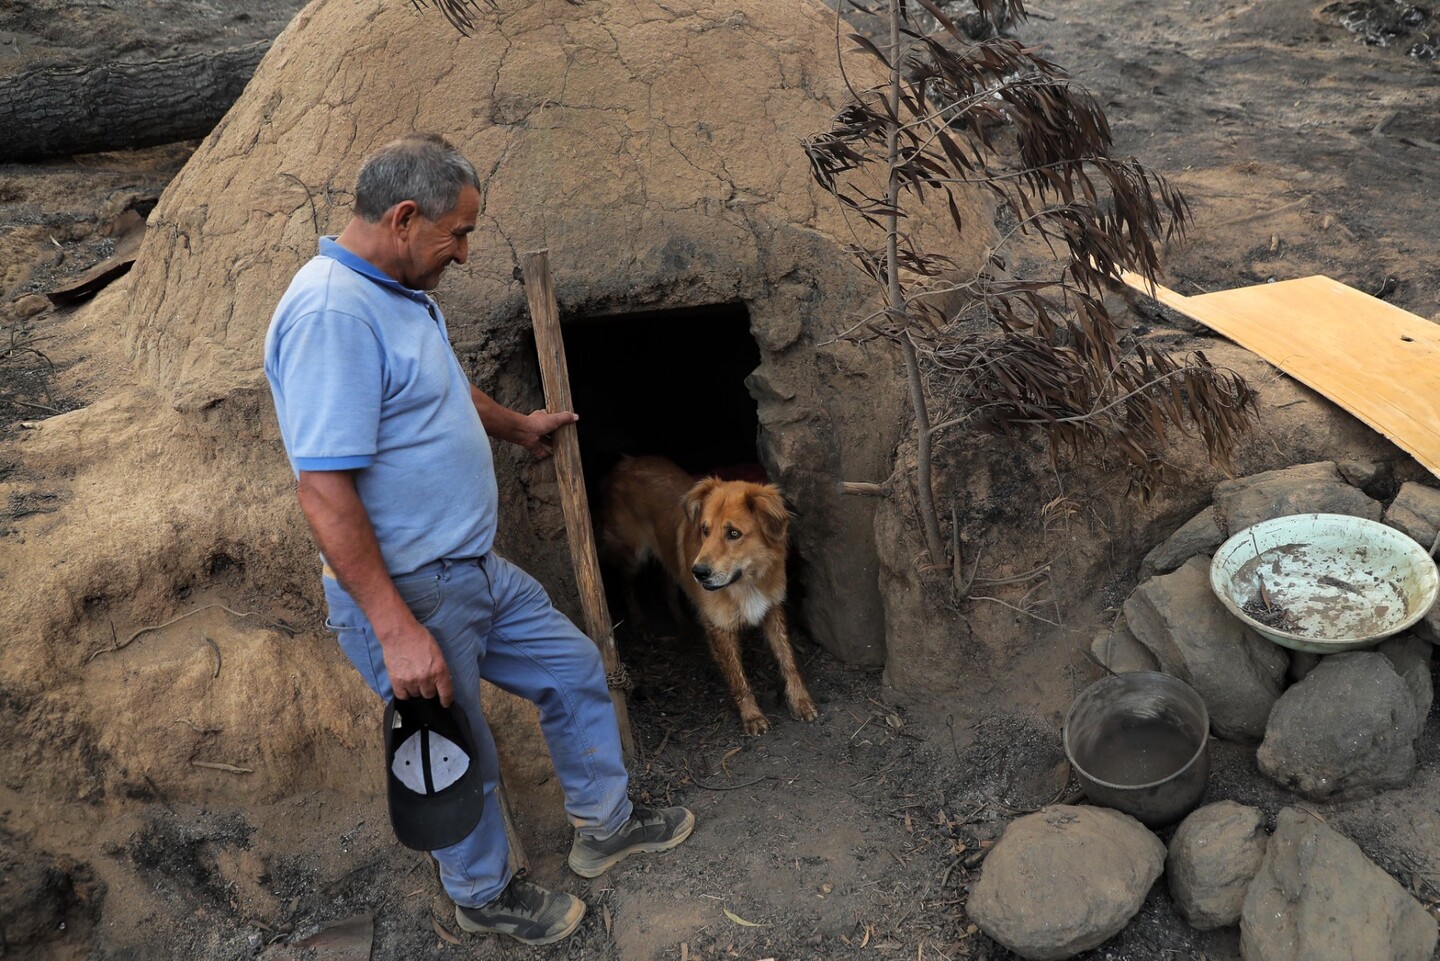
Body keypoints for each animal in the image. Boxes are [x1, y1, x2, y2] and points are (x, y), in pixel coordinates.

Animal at [599, 455, 823, 731]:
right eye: (705, 530)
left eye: (734, 533)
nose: (699, 572)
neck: (746, 582)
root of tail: (627, 461)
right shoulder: (720, 627)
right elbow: (737, 677)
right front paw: (752, 716)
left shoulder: (772, 609)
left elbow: (788, 659)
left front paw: (801, 701)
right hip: (633, 554)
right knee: (625, 581)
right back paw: (638, 621)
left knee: (667, 584)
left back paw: (683, 624)